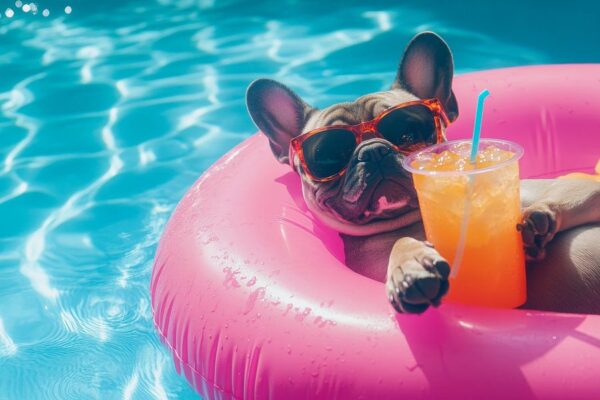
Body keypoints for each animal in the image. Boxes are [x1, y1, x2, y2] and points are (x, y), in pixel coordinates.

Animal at [244, 31, 600, 314]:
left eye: (408, 134)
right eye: (329, 155)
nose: (375, 152)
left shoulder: (567, 191)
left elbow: (568, 194)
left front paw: (536, 218)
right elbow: (402, 242)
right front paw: (410, 266)